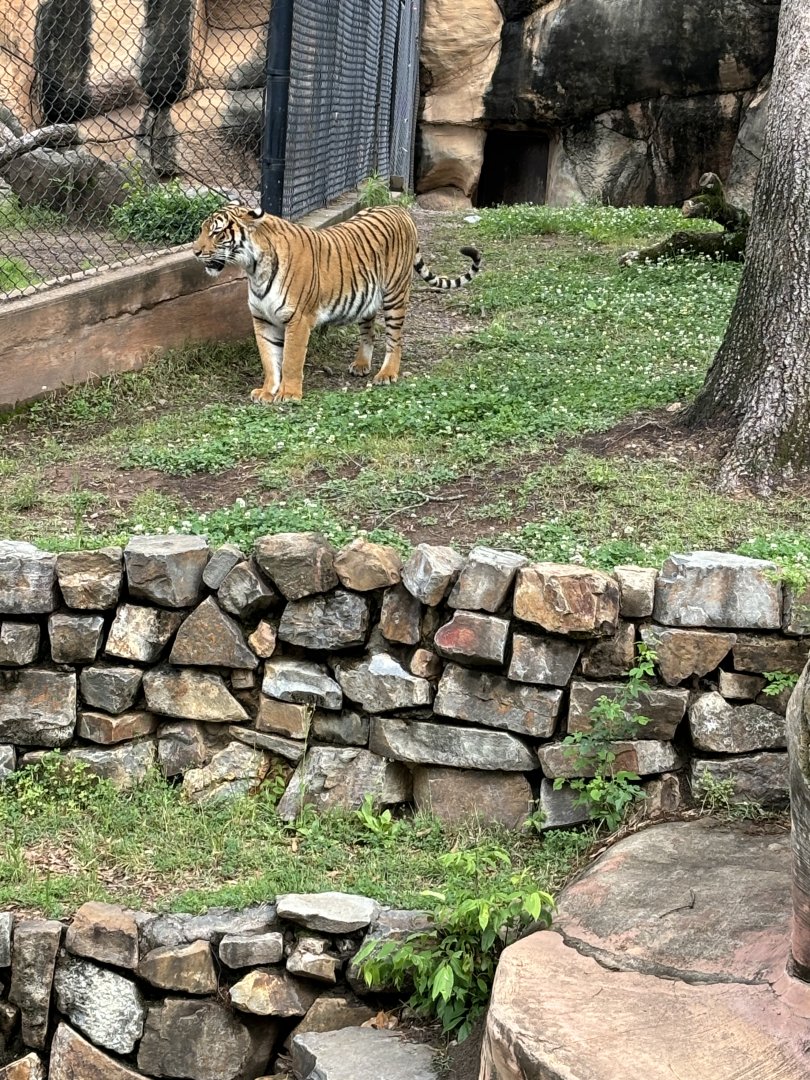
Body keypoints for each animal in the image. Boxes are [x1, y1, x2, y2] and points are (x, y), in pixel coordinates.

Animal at [192, 202, 481, 403]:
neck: (254, 269)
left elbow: (291, 360)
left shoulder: (298, 320)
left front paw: (289, 394)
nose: (195, 251)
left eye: (217, 232)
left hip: (395, 294)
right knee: (369, 333)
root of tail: (399, 209)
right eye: (203, 230)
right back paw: (362, 365)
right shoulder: (262, 320)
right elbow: (269, 360)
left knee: (395, 339)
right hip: (366, 298)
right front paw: (267, 391)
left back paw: (387, 374)